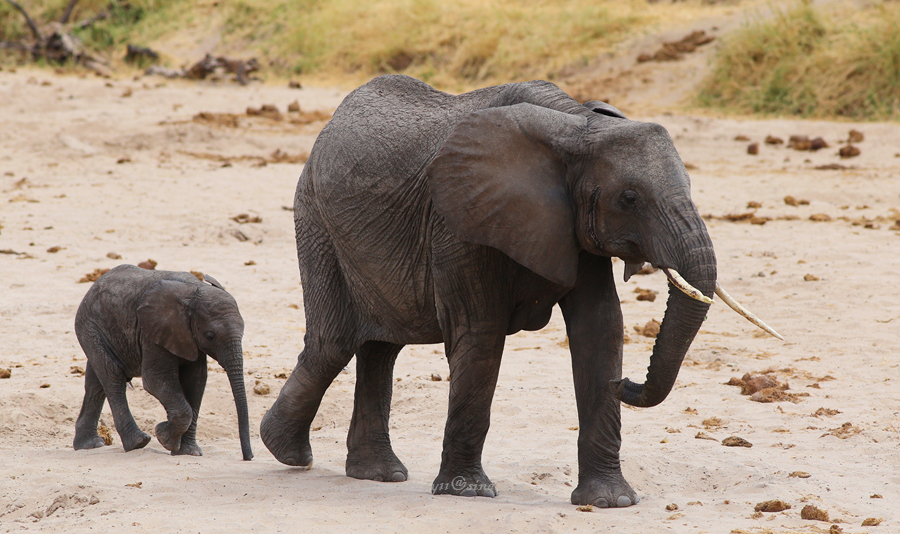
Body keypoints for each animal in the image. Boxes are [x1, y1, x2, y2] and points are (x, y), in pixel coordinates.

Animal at [73, 266, 253, 462]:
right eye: (210, 336)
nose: (248, 457)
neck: (195, 291)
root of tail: (93, 286)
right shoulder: (153, 332)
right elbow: (156, 380)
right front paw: (164, 437)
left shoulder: (189, 338)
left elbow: (196, 383)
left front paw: (188, 452)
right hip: (90, 327)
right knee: (113, 376)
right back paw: (138, 442)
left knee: (96, 383)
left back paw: (89, 445)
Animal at [258, 74, 772, 506]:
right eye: (629, 199)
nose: (627, 384)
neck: (576, 125)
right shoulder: (459, 218)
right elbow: (480, 333)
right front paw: (467, 492)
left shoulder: (570, 226)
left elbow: (601, 327)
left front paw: (611, 501)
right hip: (317, 219)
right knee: (333, 343)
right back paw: (286, 452)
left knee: (380, 348)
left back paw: (377, 474)